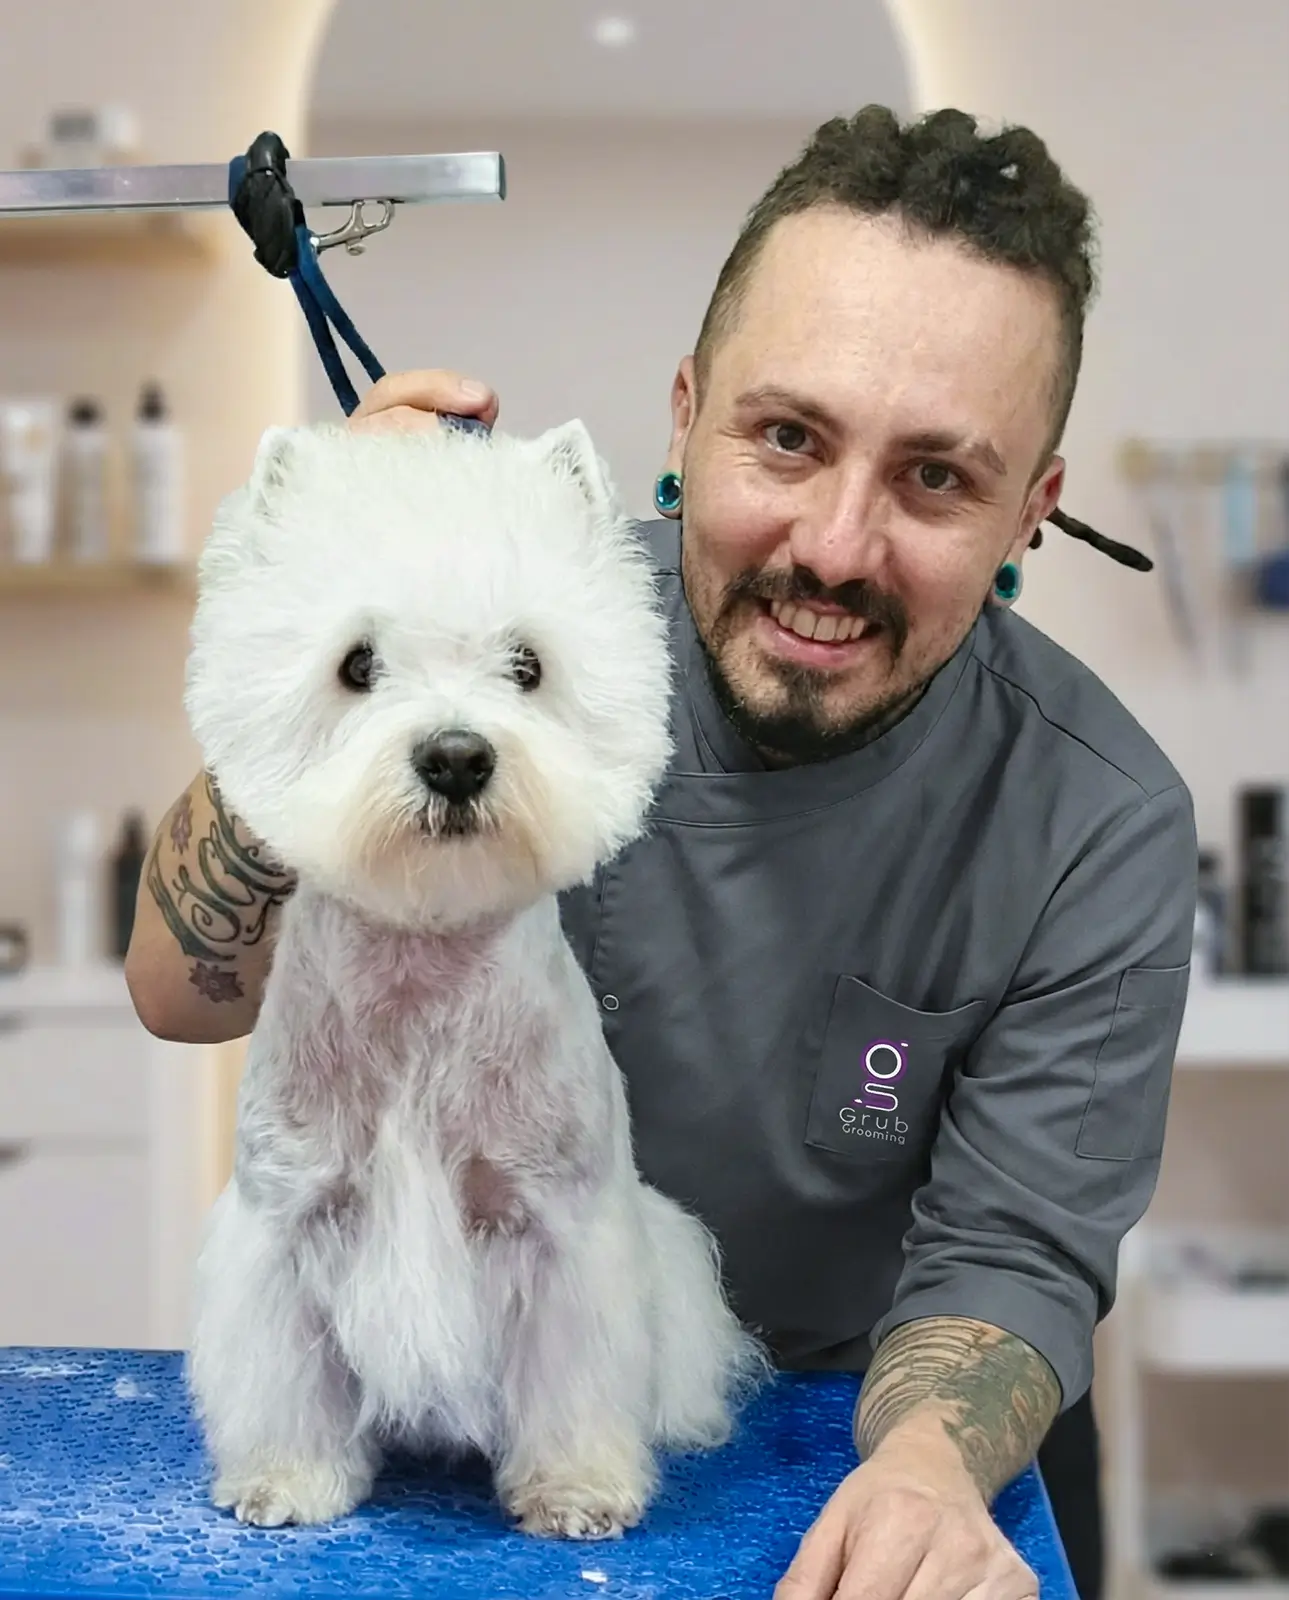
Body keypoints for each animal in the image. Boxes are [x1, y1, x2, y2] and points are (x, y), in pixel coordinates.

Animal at [183, 418, 764, 1540]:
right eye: (356, 663)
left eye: (527, 663)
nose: (456, 755)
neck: (424, 962)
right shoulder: (289, 1217)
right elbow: (288, 1370)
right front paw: (286, 1478)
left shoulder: (559, 1228)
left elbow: (571, 1375)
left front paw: (576, 1489)